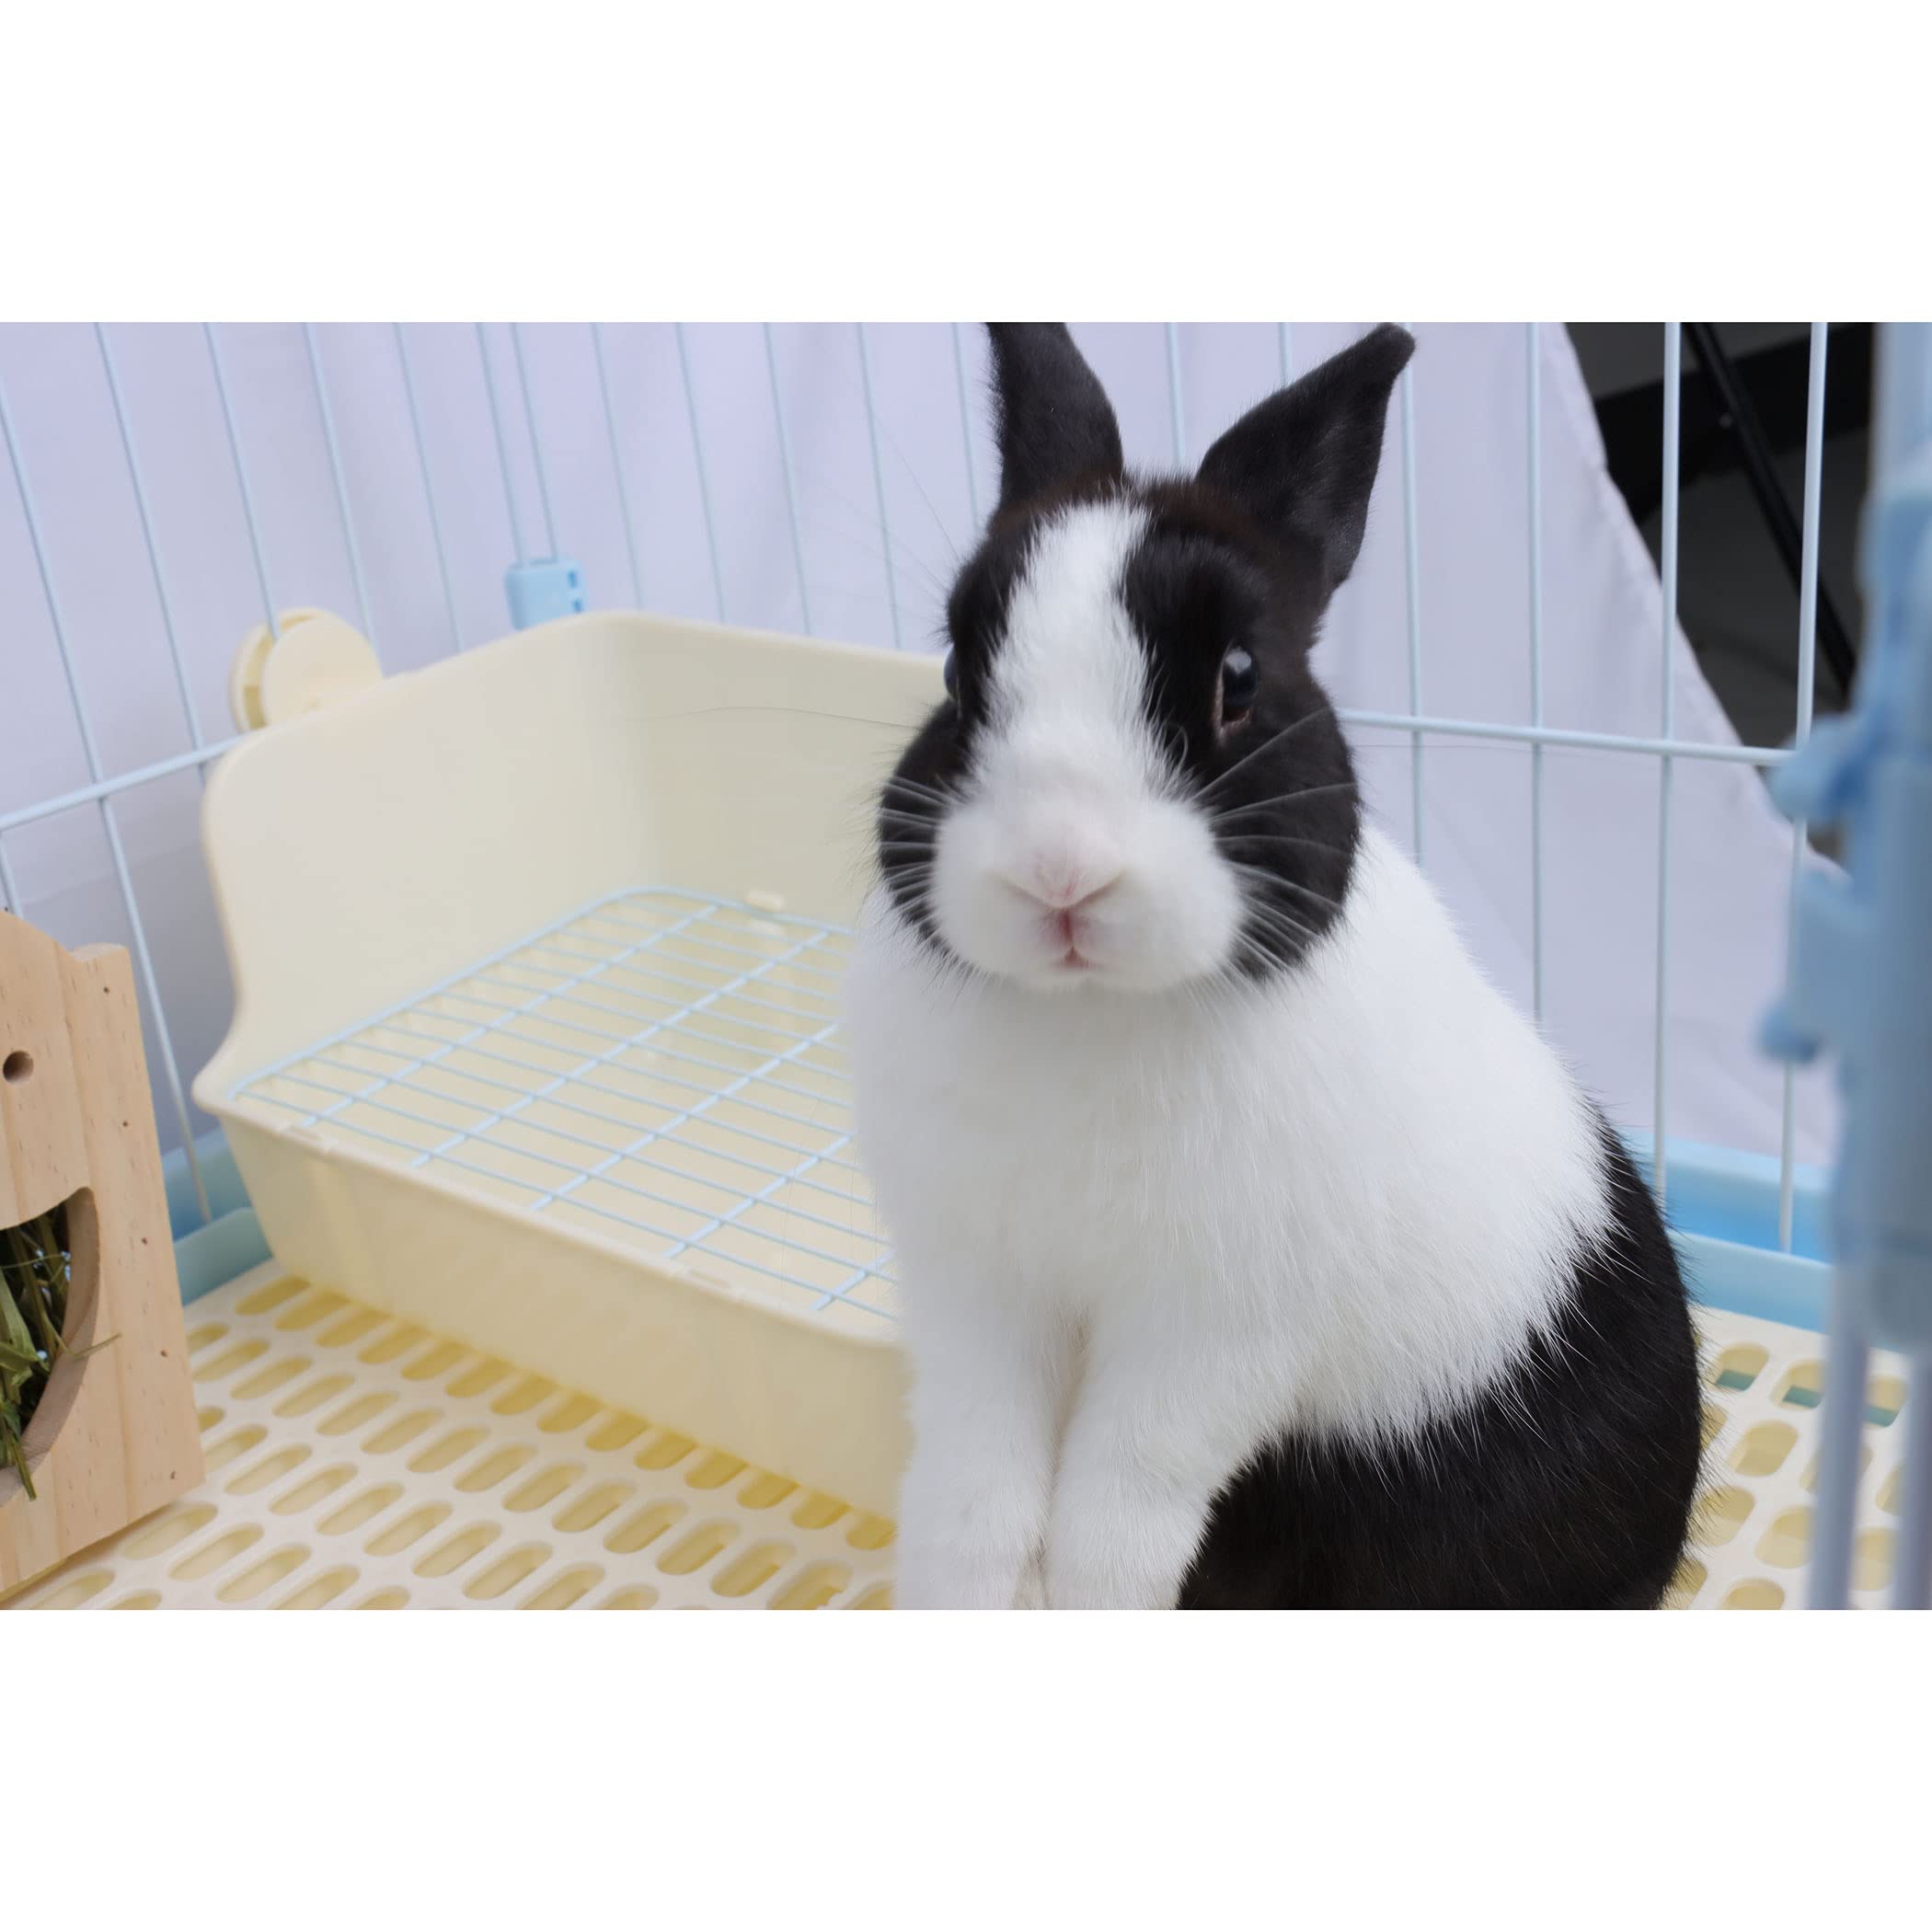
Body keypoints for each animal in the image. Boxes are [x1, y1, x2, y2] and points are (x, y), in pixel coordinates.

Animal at [841, 323, 1702, 1609]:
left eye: (1239, 678)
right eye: (957, 668)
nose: (1059, 872)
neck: (1094, 1014)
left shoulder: (1216, 1333)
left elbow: (1118, 1502)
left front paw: (1094, 1604)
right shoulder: (979, 1291)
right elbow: (975, 1491)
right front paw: (964, 1597)